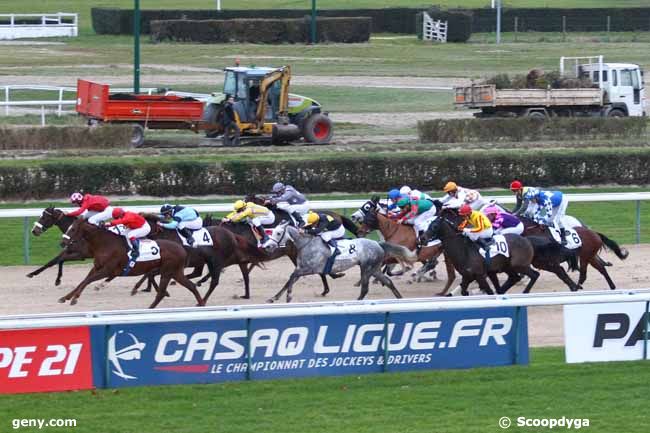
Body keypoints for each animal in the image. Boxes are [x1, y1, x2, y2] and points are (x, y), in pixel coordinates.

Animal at [61, 219, 202, 308]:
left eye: (72, 229)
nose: (63, 243)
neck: (106, 244)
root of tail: (182, 248)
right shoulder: (97, 267)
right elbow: (83, 281)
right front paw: (66, 297)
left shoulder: (108, 270)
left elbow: (88, 280)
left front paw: (74, 299)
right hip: (175, 272)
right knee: (190, 286)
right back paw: (201, 303)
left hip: (168, 271)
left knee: (163, 292)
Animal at [262, 221, 418, 302]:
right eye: (272, 231)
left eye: (278, 233)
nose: (267, 246)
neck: (306, 244)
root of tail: (378, 244)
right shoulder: (301, 268)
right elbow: (289, 280)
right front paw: (274, 298)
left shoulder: (310, 269)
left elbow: (292, 277)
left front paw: (288, 297)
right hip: (374, 269)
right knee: (388, 282)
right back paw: (400, 298)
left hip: (366, 268)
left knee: (365, 288)